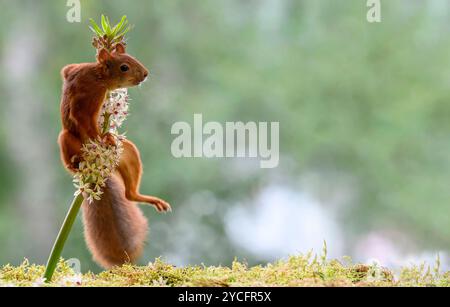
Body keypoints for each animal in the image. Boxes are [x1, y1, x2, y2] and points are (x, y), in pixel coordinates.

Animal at [58, 43, 171, 270]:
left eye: (133, 57)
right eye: (124, 67)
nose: (145, 74)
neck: (98, 75)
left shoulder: (74, 69)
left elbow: (67, 70)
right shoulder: (88, 95)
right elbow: (82, 118)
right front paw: (102, 137)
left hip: (128, 153)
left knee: (130, 194)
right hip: (67, 139)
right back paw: (78, 161)